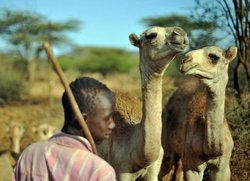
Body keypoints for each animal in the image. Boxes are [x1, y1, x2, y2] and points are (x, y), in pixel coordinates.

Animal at [161, 46, 237, 180]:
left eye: (214, 56)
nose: (185, 60)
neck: (211, 151)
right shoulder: (193, 166)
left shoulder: (223, 166)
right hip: (168, 147)